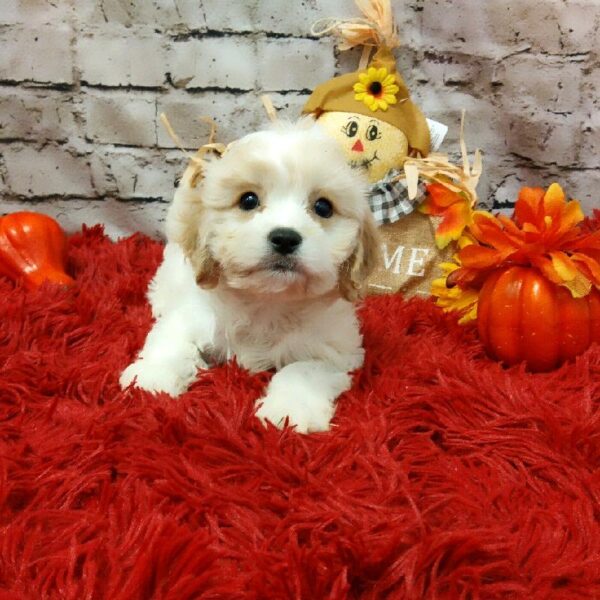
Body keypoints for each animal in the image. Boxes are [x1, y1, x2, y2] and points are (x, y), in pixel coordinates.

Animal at [119, 119, 378, 434]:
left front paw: (289, 412)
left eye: (323, 207)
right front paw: (151, 378)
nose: (285, 238)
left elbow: (303, 370)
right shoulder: (192, 314)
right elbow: (172, 341)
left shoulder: (336, 352)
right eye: (248, 200)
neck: (267, 300)